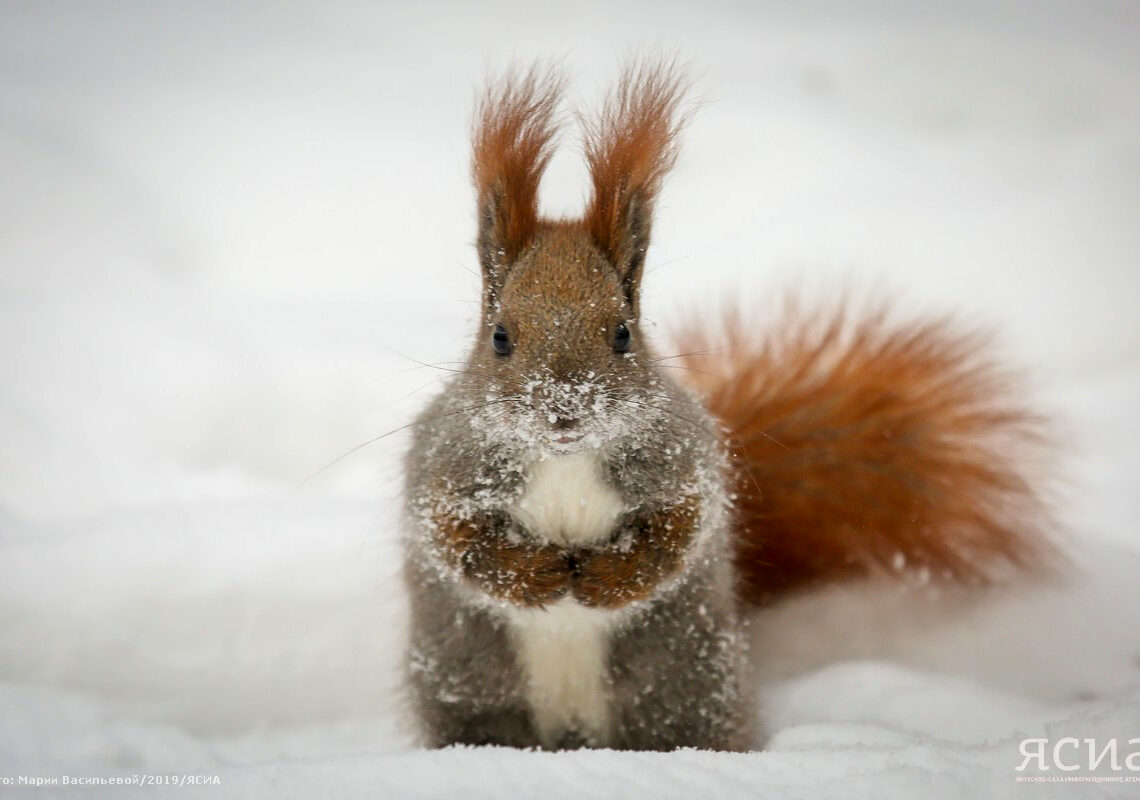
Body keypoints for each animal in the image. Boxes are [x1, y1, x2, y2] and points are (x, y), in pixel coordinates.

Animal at [399, 60, 1048, 752]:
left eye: (623, 333)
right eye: (499, 337)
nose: (565, 408)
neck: (565, 460)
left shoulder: (686, 465)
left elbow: (677, 537)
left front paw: (605, 579)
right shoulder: (446, 470)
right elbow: (459, 544)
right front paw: (540, 574)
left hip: (686, 689)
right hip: (469, 689)